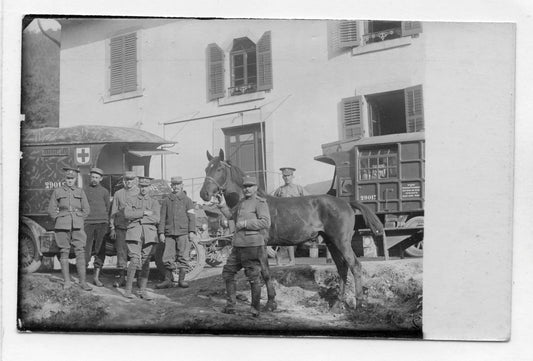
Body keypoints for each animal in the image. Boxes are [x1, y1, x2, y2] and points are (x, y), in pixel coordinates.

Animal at [200, 149, 382, 310]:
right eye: (206, 168)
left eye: (219, 168)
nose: (204, 194)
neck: (250, 201)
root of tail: (347, 203)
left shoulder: (261, 245)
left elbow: (265, 273)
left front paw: (270, 303)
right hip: (332, 243)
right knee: (342, 268)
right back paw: (338, 304)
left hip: (341, 242)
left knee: (355, 266)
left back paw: (359, 303)